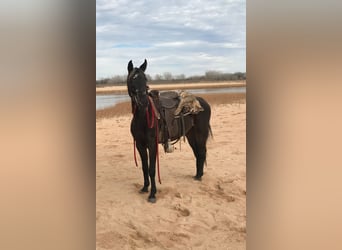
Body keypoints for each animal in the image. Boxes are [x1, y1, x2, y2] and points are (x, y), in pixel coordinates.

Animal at [127, 59, 210, 203]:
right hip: (191, 135)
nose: (143, 102)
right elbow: (144, 167)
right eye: (133, 79)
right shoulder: (140, 145)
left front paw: (152, 194)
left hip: (201, 134)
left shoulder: (152, 144)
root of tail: (202, 103)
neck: (143, 116)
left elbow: (152, 169)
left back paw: (199, 176)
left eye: (145, 78)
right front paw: (145, 188)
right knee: (198, 153)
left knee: (201, 152)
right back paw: (197, 175)